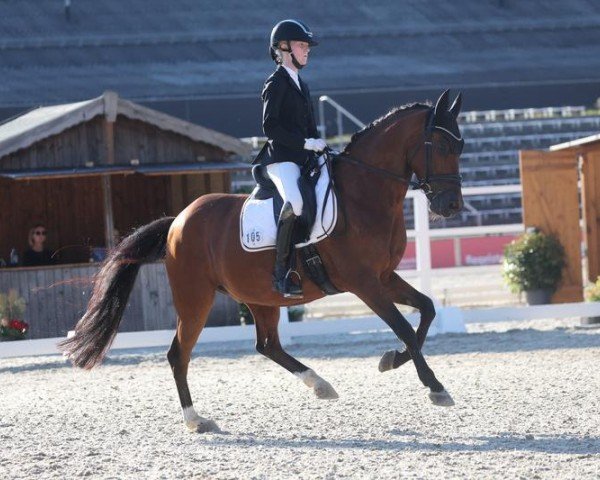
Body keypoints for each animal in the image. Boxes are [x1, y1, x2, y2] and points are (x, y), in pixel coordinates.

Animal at [59, 89, 464, 432]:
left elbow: (427, 311)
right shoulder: (364, 282)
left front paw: (391, 360)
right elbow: (406, 327)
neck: (364, 195)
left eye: (460, 145)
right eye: (444, 144)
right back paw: (196, 420)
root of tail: (177, 221)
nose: (451, 206)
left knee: (267, 345)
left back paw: (320, 384)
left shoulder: (384, 276)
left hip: (259, 296)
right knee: (178, 354)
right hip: (195, 299)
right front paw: (435, 387)